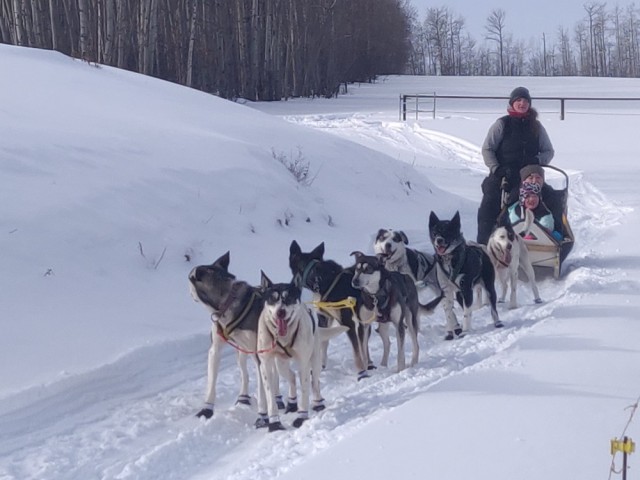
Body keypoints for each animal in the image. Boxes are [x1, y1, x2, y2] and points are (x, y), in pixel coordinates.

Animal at [256, 272, 344, 434]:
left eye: (289, 297)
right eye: (272, 298)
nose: (281, 312)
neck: (283, 337)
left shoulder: (304, 362)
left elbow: (304, 391)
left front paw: (302, 417)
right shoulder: (265, 364)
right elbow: (271, 396)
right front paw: (274, 423)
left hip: (314, 360)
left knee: (314, 382)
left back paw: (317, 403)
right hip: (281, 364)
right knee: (291, 376)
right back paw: (291, 403)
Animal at [428, 212, 502, 340]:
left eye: (447, 231)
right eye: (434, 233)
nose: (439, 240)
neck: (449, 259)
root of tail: (480, 249)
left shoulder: (466, 288)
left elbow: (466, 313)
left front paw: (465, 331)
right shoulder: (446, 291)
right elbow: (449, 313)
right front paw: (451, 331)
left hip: (488, 287)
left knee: (492, 307)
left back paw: (497, 322)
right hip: (459, 295)